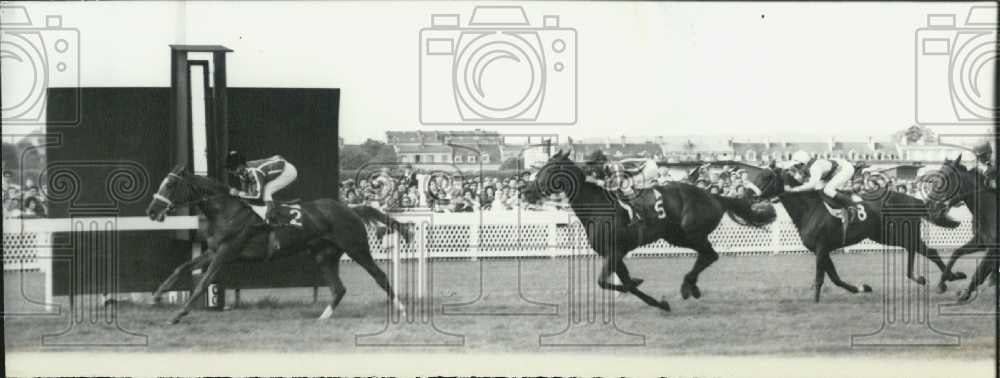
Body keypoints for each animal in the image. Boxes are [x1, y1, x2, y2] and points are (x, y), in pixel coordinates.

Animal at [145, 164, 410, 324]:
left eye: (170, 185)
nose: (152, 211)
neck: (225, 210)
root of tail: (351, 208)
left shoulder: (226, 252)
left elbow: (203, 282)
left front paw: (178, 315)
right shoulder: (213, 250)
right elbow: (181, 267)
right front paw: (156, 296)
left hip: (356, 248)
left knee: (380, 277)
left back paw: (402, 310)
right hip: (324, 255)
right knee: (338, 288)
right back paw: (322, 317)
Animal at [528, 151, 776, 314]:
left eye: (550, 168)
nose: (528, 190)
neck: (597, 206)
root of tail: (715, 195)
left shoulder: (615, 251)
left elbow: (606, 282)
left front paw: (640, 285)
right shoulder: (614, 254)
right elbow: (624, 283)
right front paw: (658, 302)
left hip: (691, 232)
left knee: (710, 255)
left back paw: (688, 286)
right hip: (677, 236)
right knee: (707, 255)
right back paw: (692, 287)